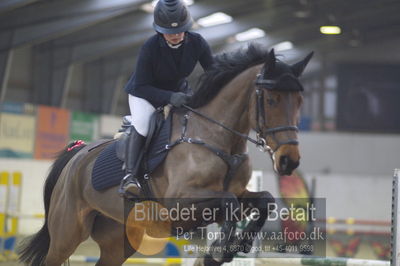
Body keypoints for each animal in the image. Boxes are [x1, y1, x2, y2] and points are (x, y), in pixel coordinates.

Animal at [18, 45, 312, 266]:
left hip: (117, 239)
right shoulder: (179, 205)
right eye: (271, 100)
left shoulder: (238, 194)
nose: (290, 160)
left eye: (300, 101)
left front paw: (236, 245)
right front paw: (219, 250)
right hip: (67, 233)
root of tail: (77, 155)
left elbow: (265, 200)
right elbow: (228, 202)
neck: (218, 139)